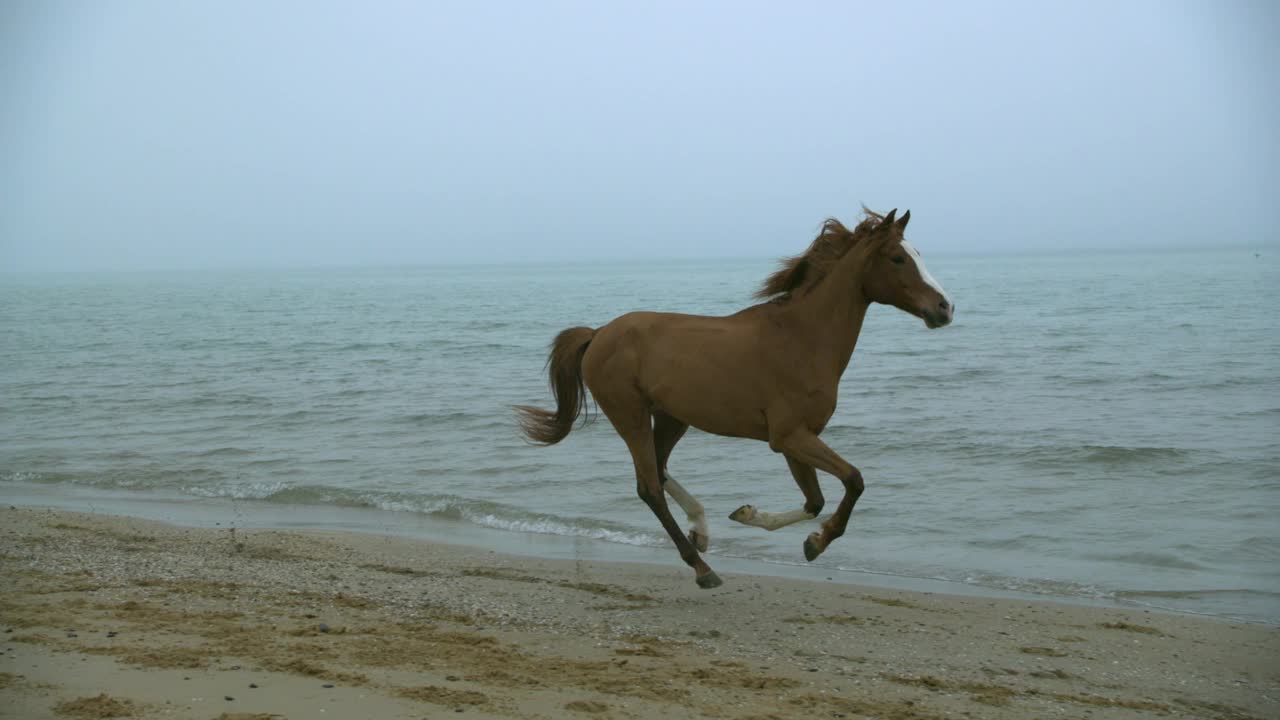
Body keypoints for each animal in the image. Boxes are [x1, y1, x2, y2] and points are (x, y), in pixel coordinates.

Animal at [517, 207, 952, 589]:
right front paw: (817, 541)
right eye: (898, 258)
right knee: (649, 488)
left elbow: (815, 500)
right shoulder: (789, 436)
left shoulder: (798, 439)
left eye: (916, 254)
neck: (802, 339)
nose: (945, 308)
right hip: (631, 416)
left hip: (672, 418)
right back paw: (702, 567)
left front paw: (754, 517)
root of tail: (599, 333)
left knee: (659, 470)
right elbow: (853, 480)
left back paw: (701, 529)